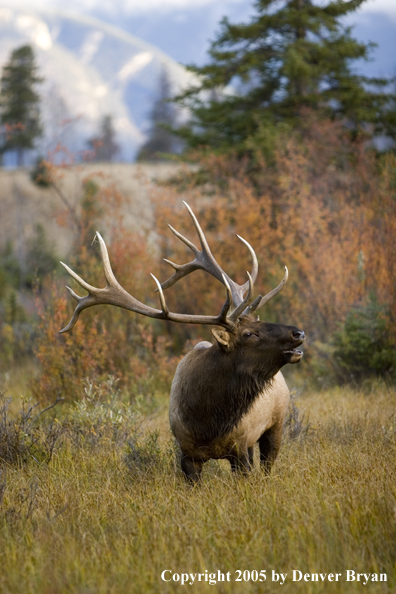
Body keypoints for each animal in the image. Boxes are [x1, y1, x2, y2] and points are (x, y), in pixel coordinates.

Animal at [60, 204, 304, 480]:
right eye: (249, 334)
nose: (298, 333)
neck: (208, 420)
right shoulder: (187, 454)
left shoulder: (240, 446)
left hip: (276, 424)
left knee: (267, 464)